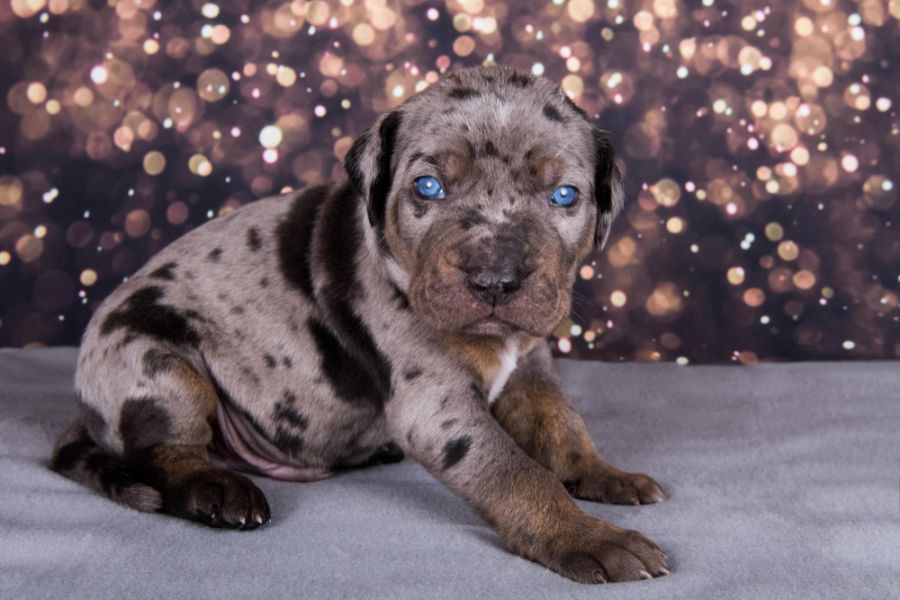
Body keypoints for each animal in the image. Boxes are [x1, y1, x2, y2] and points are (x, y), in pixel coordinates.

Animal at [49, 64, 668, 580]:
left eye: (564, 195)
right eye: (428, 187)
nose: (495, 280)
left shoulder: (531, 366)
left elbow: (561, 425)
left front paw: (603, 473)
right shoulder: (436, 404)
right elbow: (512, 470)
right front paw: (586, 536)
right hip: (157, 360)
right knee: (162, 453)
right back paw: (218, 489)